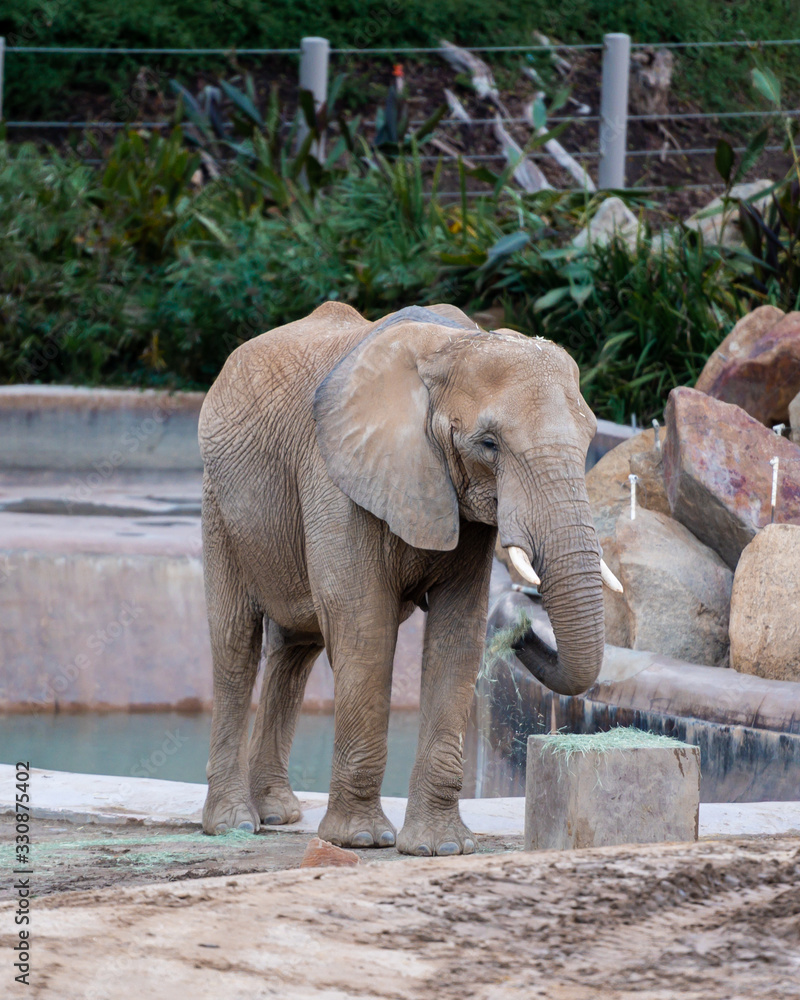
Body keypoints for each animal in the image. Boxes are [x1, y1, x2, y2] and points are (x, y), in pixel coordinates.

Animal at [197, 300, 620, 856]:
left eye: (591, 438)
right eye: (489, 444)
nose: (524, 629)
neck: (452, 346)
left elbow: (458, 634)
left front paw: (442, 848)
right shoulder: (337, 477)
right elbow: (363, 627)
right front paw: (362, 839)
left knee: (295, 649)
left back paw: (277, 813)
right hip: (219, 504)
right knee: (235, 644)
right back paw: (234, 825)